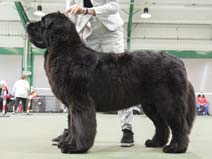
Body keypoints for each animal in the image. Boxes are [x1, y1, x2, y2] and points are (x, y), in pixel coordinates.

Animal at [26, 12, 195, 154]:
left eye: (42, 22)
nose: (27, 23)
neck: (65, 51)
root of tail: (179, 61)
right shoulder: (72, 105)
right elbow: (73, 125)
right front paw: (67, 143)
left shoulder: (80, 102)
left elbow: (80, 125)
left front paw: (75, 147)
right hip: (151, 105)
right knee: (161, 124)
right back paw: (156, 143)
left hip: (168, 101)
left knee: (179, 124)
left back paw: (176, 147)